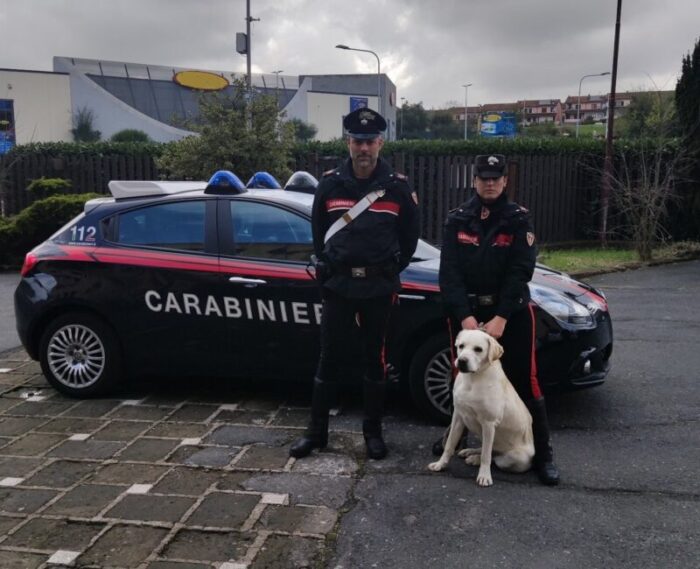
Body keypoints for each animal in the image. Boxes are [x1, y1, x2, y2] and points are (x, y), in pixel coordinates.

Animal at [426, 328, 536, 484]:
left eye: (478, 349)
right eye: (461, 346)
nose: (462, 361)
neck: (473, 379)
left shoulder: (489, 423)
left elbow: (486, 455)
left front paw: (484, 476)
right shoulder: (458, 417)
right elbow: (449, 444)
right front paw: (441, 464)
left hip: (518, 458)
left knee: (494, 457)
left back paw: (475, 459)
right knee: (487, 449)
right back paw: (470, 452)